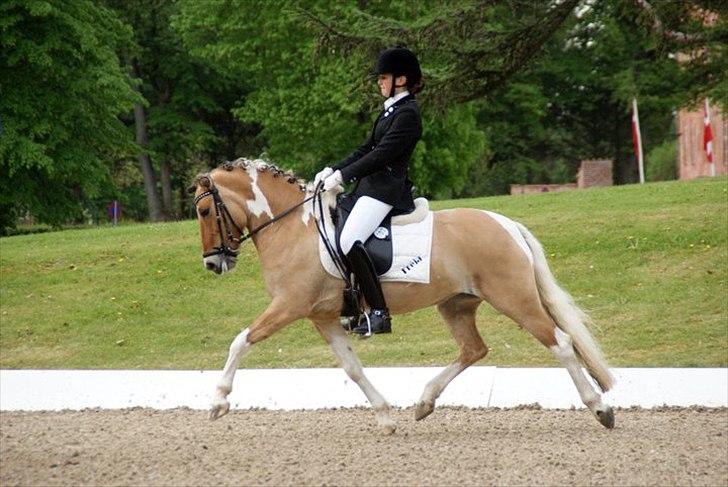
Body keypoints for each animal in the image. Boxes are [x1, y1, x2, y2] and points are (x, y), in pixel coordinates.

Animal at [188, 157, 616, 434]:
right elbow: (352, 368)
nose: (213, 264)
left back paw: (601, 409)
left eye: (206, 211)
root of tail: (506, 223)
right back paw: (424, 403)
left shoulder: (288, 306)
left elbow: (241, 340)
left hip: (515, 300)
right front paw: (386, 417)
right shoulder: (321, 317)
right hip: (456, 304)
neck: (295, 227)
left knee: (561, 343)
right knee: (473, 349)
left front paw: (218, 402)